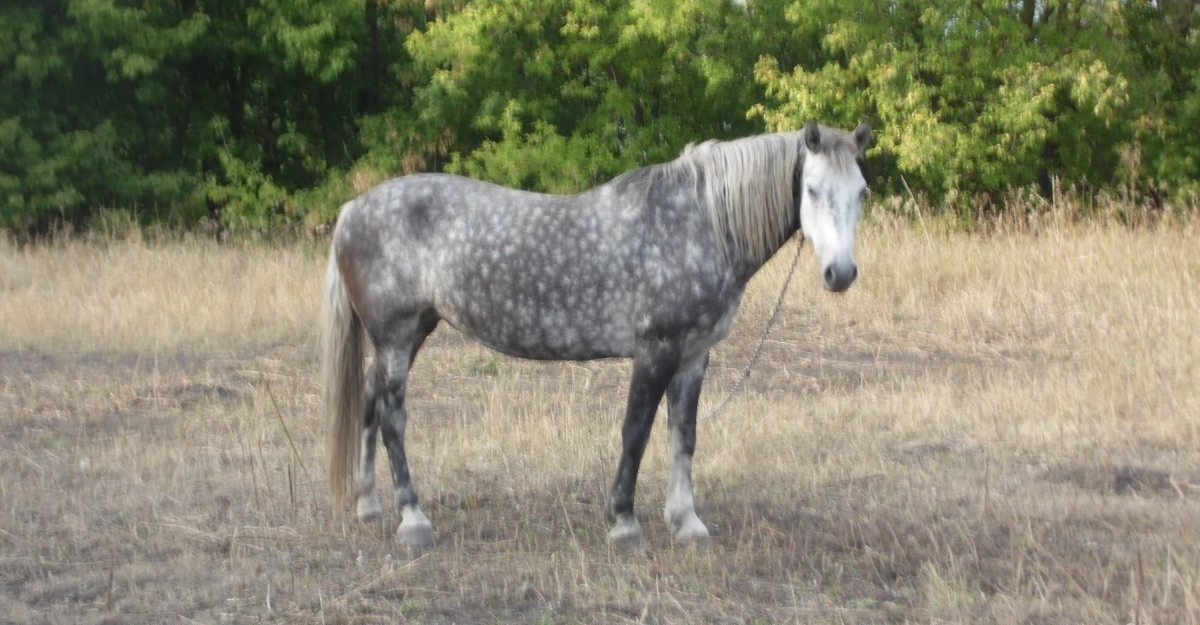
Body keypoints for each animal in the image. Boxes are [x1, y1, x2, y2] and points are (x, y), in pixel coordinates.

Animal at [319, 120, 873, 547]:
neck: (699, 223)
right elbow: (636, 431)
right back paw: (413, 520)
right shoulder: (655, 350)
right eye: (812, 190)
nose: (842, 274)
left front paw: (686, 521)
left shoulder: (693, 357)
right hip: (395, 336)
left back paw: (369, 505)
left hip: (412, 333)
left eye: (861, 192)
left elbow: (683, 434)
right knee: (393, 418)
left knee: (369, 402)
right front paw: (624, 522)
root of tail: (352, 209)